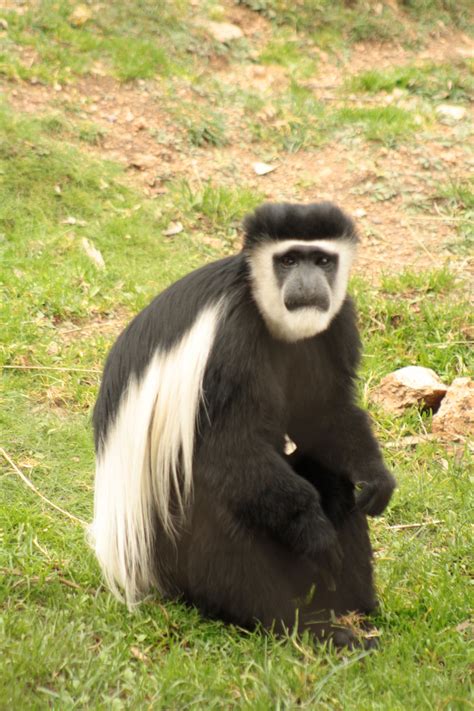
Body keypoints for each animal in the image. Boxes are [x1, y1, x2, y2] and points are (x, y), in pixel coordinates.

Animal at [90, 202, 394, 652]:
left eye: (322, 260)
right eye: (289, 260)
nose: (308, 283)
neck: (265, 312)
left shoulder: (336, 324)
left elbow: (324, 417)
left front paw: (376, 476)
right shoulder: (230, 339)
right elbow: (229, 448)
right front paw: (314, 531)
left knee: (331, 477)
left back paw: (354, 610)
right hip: (178, 552)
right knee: (222, 504)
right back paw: (298, 625)